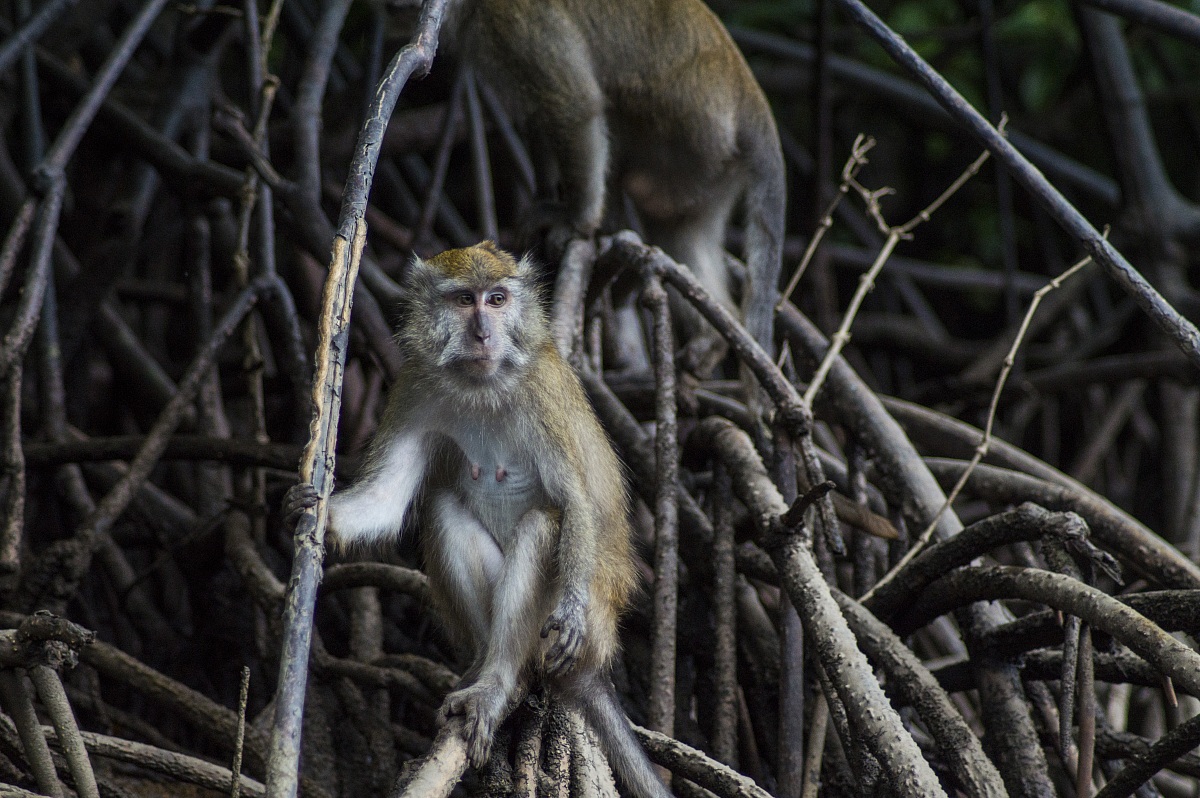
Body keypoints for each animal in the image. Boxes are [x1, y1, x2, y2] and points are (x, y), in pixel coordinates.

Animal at [287, 243, 672, 798]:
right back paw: (482, 666)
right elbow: (388, 496)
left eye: (497, 299)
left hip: (588, 635)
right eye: (464, 299)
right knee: (443, 509)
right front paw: (316, 512)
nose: (484, 333)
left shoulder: (541, 392)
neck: (482, 382)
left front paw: (569, 612)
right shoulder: (415, 388)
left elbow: (575, 502)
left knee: (541, 527)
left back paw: (499, 683)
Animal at [443, 0, 786, 361]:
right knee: (676, 226)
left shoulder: (514, 20)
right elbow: (536, 117)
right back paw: (713, 338)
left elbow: (575, 106)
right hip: (711, 166)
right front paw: (544, 192)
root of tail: (751, 99)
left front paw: (576, 220)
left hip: (691, 132)